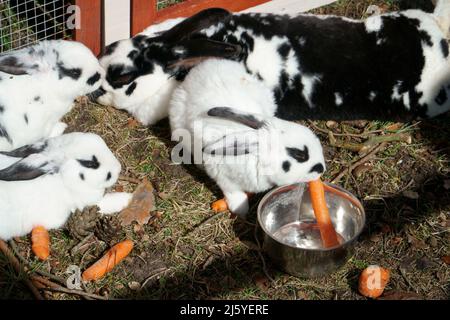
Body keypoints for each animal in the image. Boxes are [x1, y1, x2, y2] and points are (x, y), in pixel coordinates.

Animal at [169, 58, 324, 216]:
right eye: (299, 154)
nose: (321, 169)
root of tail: (204, 65)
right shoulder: (222, 176)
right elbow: (233, 193)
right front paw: (240, 209)